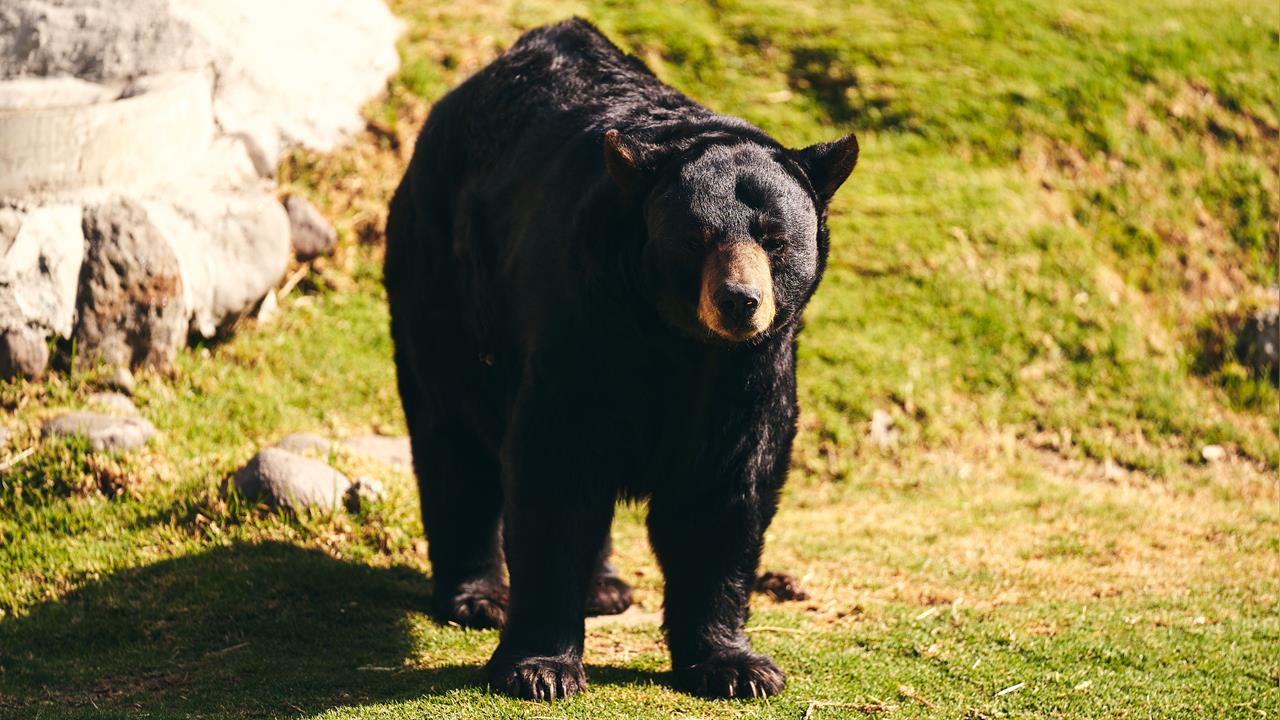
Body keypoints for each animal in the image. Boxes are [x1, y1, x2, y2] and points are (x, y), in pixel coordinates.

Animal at [384, 18, 858, 701]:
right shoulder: (588, 324)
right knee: (455, 433)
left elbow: (727, 489)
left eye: (774, 239)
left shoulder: (750, 371)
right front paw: (540, 667)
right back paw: (479, 595)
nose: (739, 301)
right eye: (696, 238)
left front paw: (736, 665)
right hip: (445, 278)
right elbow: (556, 468)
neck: (678, 340)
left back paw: (605, 586)